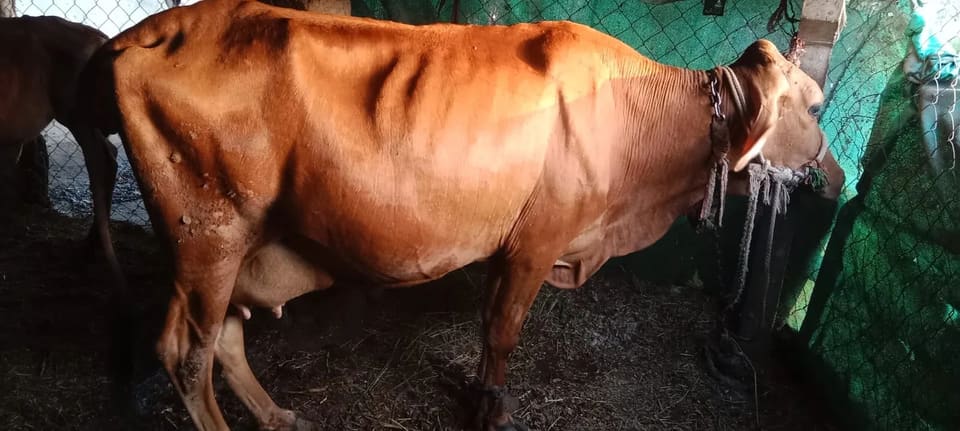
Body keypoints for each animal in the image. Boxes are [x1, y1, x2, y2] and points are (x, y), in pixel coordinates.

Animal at [76, 0, 844, 429]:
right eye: (814, 107)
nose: (835, 180)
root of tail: (145, 32)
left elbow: (487, 333)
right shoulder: (536, 242)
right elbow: (501, 335)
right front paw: (490, 408)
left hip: (244, 242)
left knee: (225, 342)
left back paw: (276, 413)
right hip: (207, 235)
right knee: (185, 351)